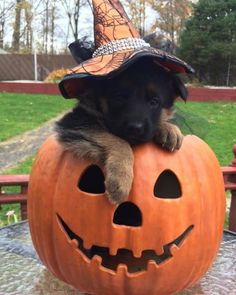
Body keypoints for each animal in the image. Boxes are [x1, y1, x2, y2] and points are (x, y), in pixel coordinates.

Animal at [55, 59, 188, 205]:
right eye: (118, 98)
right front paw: (121, 178)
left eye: (154, 102)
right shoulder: (75, 122)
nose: (135, 128)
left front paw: (169, 129)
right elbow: (118, 141)